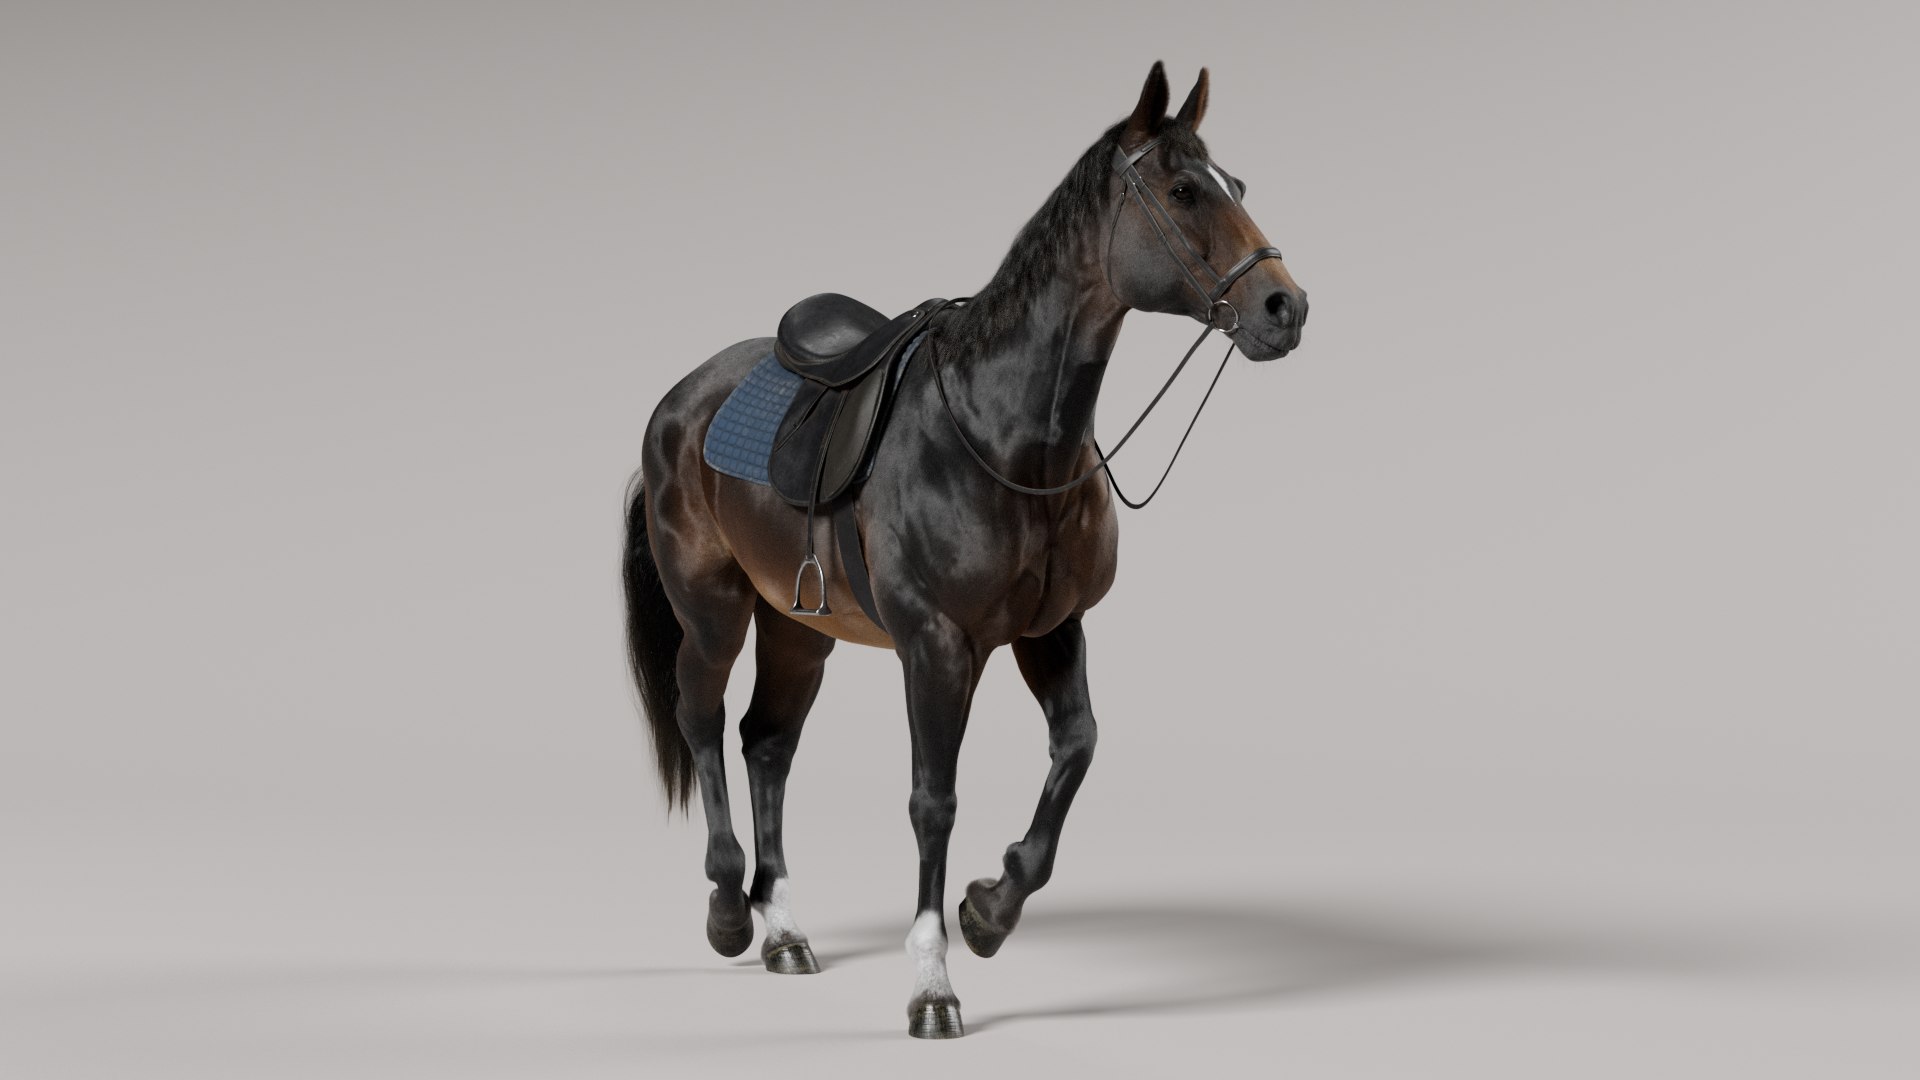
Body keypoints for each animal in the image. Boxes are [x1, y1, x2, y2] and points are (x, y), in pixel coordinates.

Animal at [622, 61, 1308, 1039]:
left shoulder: (1050, 630)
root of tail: (679, 400)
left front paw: (990, 908)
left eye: (1237, 186)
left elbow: (1077, 749)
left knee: (767, 744)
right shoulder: (937, 645)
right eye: (1183, 191)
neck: (1002, 431)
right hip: (713, 612)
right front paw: (932, 981)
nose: (1285, 306)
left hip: (798, 626)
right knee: (704, 722)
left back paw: (784, 929)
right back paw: (727, 910)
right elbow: (933, 799)